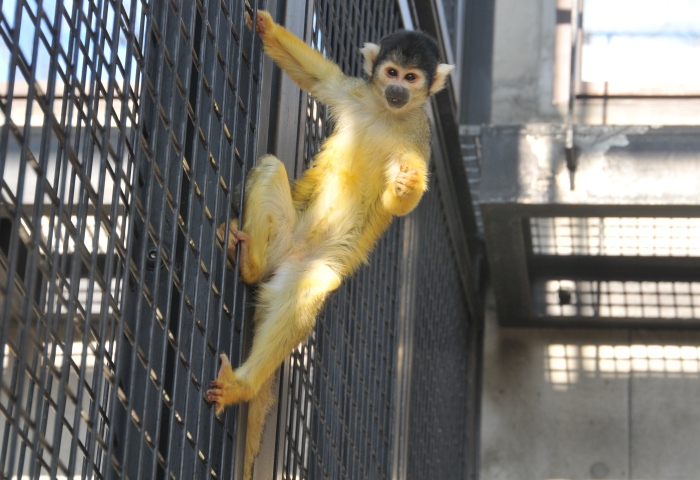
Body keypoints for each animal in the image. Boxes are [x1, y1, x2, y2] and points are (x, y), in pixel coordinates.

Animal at [205, 9, 454, 478]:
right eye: (391, 73)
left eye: (412, 78)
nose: (397, 90)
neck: (387, 113)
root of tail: (285, 256)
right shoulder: (355, 94)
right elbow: (321, 79)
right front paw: (265, 27)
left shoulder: (419, 138)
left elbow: (402, 201)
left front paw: (406, 185)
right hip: (282, 235)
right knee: (271, 166)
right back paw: (250, 262)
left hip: (309, 265)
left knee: (308, 290)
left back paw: (242, 384)